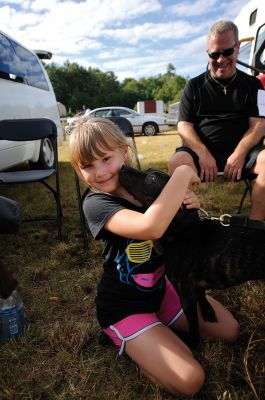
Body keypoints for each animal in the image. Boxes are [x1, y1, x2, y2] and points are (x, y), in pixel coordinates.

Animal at [119, 166, 264, 346]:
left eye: (151, 178)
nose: (123, 167)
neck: (181, 230)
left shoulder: (186, 295)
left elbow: (194, 328)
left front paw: (192, 344)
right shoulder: (195, 282)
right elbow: (202, 293)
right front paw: (208, 311)